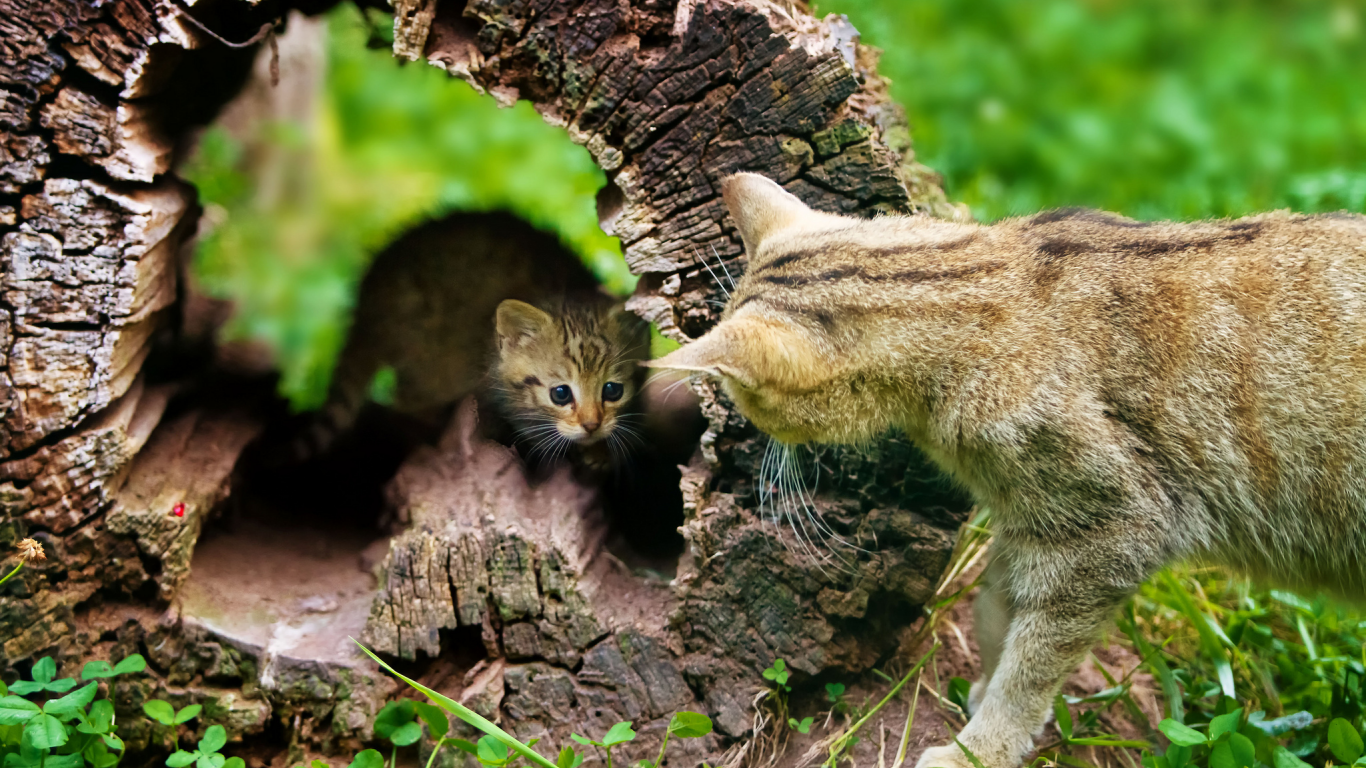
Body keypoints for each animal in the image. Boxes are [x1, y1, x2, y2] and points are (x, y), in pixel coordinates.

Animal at [647, 172, 1366, 765]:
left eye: (743, 393)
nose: (741, 424)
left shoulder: (1110, 533)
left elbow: (1033, 662)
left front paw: (981, 748)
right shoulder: (1029, 520)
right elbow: (997, 610)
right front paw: (982, 696)